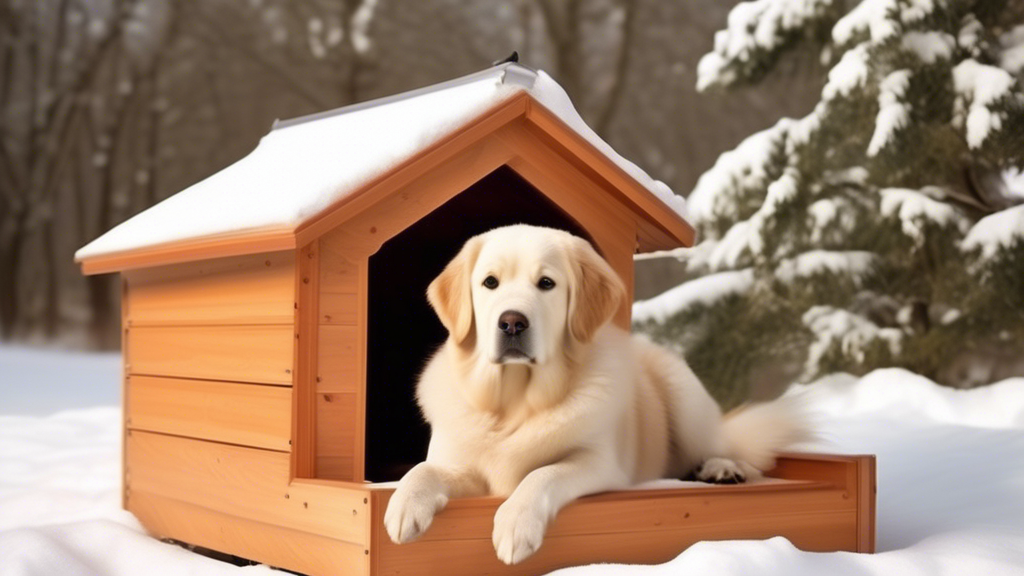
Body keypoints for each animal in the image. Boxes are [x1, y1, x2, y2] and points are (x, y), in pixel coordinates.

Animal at [385, 223, 806, 561]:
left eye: (546, 283)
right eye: (490, 282)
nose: (512, 323)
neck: (515, 405)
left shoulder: (598, 462)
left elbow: (541, 475)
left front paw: (515, 525)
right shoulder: (459, 462)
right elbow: (424, 470)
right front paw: (404, 504)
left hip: (684, 397)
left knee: (733, 449)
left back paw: (723, 468)